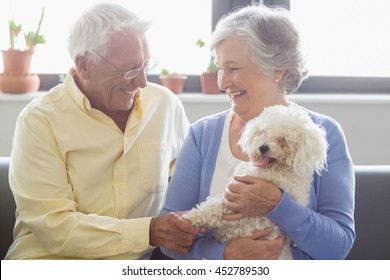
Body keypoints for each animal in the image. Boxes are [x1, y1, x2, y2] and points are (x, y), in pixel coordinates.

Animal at [181, 105, 328, 260]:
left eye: (283, 140)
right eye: (263, 132)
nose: (263, 147)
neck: (275, 171)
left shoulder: (235, 201)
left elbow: (211, 208)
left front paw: (191, 218)